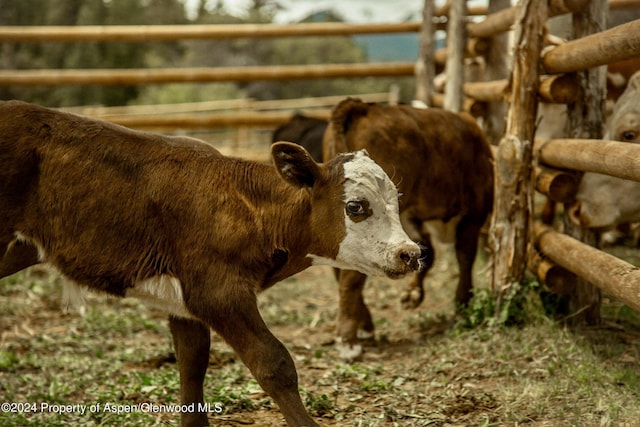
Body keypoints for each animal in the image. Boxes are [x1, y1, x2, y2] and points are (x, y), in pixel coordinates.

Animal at [1, 101, 424, 427]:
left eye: (397, 201)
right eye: (356, 207)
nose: (410, 253)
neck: (244, 205)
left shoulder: (185, 305)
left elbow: (192, 368)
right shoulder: (218, 294)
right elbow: (275, 364)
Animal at [322, 98, 492, 362]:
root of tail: (363, 107)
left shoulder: (412, 216)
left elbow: (424, 254)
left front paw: (414, 295)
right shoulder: (475, 213)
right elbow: (464, 257)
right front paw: (463, 305)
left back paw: (364, 326)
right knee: (350, 279)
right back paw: (349, 341)